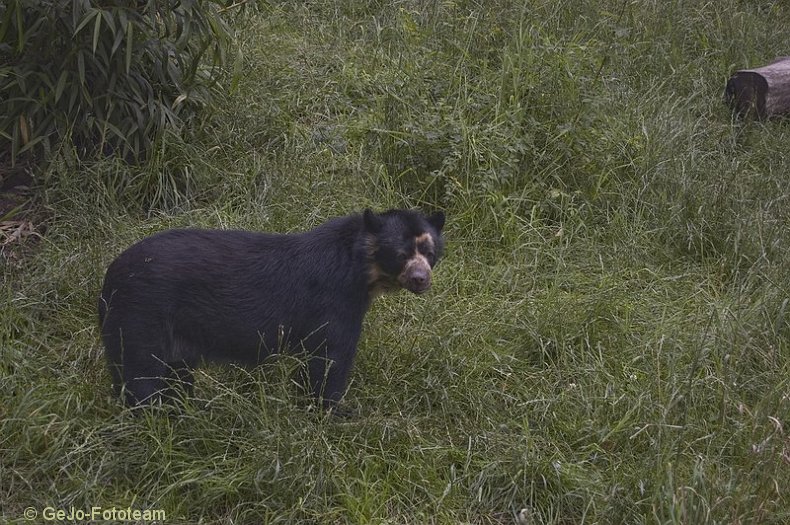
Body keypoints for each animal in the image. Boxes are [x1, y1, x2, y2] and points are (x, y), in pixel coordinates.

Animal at [97, 209, 446, 410]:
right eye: (400, 254)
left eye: (429, 252)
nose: (421, 279)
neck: (361, 273)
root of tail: (109, 277)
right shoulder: (336, 303)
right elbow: (330, 360)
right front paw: (336, 412)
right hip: (142, 316)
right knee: (140, 376)